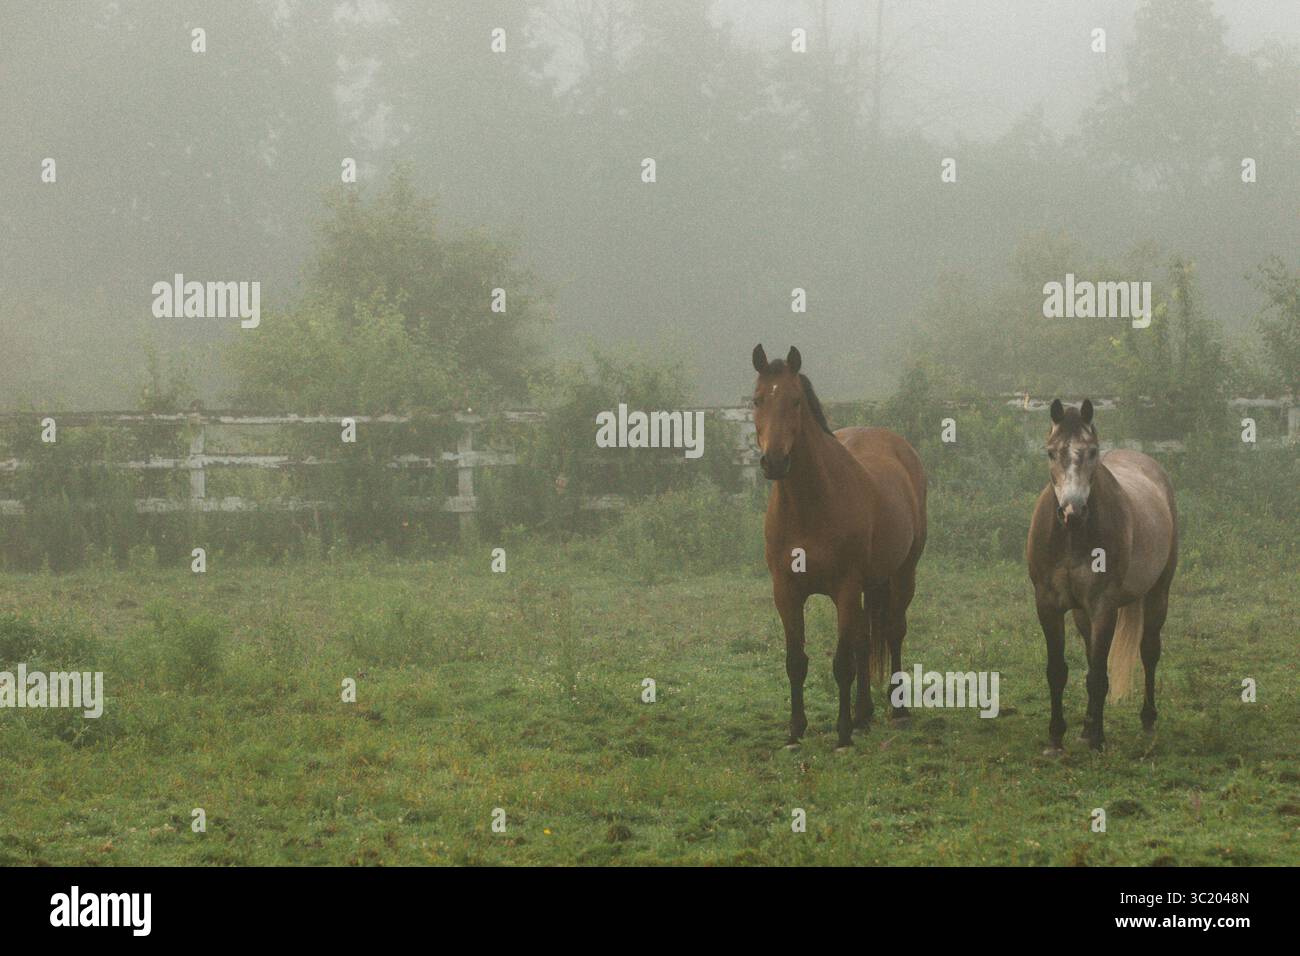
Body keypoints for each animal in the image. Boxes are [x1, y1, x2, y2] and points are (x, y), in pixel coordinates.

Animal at [750, 344, 927, 751]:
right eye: (757, 399)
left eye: (795, 400)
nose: (774, 461)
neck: (809, 505)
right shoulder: (786, 591)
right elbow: (796, 661)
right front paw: (795, 730)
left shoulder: (844, 589)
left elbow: (842, 663)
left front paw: (842, 734)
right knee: (865, 640)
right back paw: (864, 715)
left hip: (902, 574)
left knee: (893, 631)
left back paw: (897, 711)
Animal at [1026, 399, 1178, 753]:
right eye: (1050, 452)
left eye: (1093, 451)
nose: (1072, 511)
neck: (1072, 537)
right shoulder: (1048, 605)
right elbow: (1058, 671)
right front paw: (1057, 737)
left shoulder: (1103, 606)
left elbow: (1098, 675)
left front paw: (1097, 739)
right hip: (1082, 613)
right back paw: (1085, 727)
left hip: (1158, 592)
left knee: (1149, 651)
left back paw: (1147, 720)